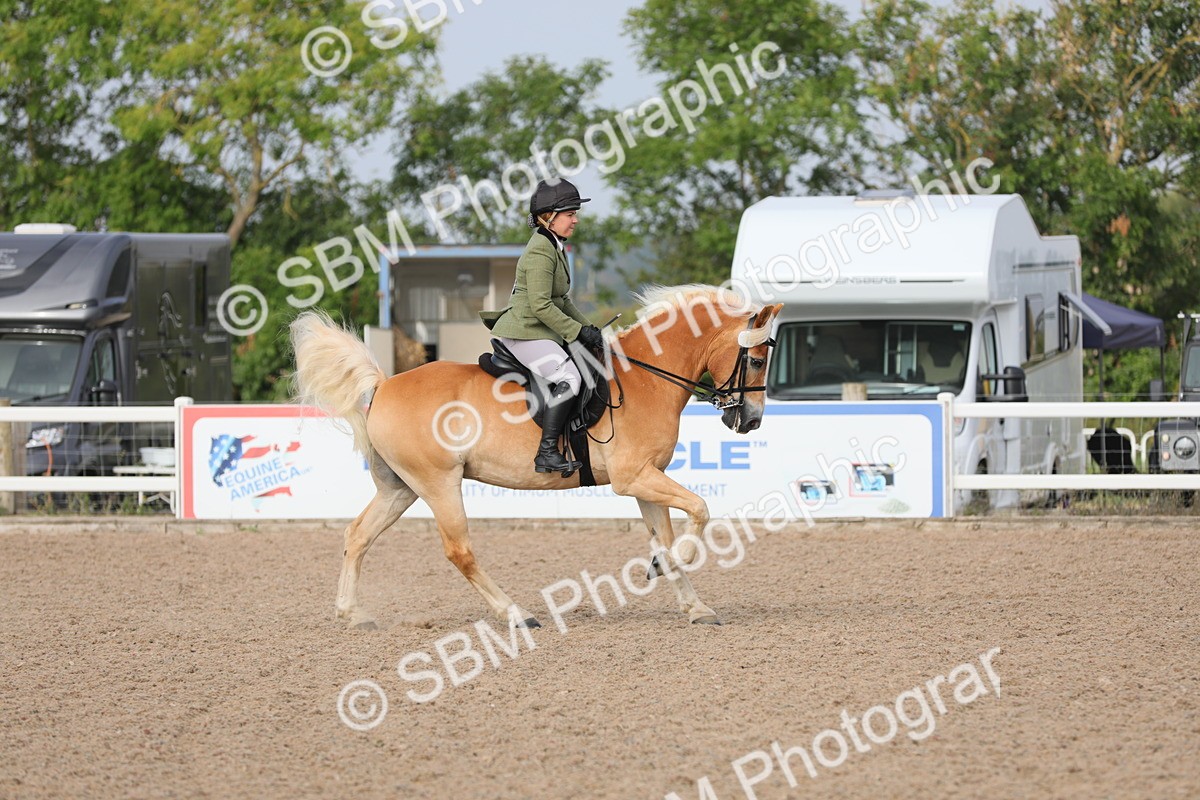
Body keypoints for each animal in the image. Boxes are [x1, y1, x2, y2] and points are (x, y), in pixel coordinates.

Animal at [290, 284, 783, 629]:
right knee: (459, 551)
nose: (752, 421)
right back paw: (516, 614)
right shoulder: (633, 478)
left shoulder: (648, 479)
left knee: (358, 536)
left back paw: (352, 614)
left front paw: (694, 604)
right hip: (439, 484)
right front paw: (675, 563)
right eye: (757, 361)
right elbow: (700, 509)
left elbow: (665, 536)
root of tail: (384, 384)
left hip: (401, 489)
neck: (647, 378)